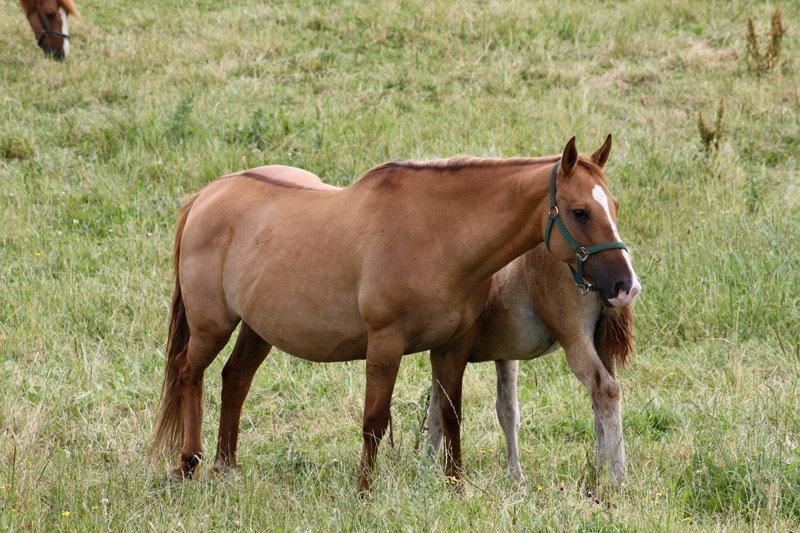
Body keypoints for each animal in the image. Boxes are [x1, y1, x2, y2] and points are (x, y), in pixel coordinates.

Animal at [428, 243, 636, 484]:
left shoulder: (447, 352)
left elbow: (437, 411)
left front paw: (423, 468)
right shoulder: (504, 355)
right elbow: (507, 409)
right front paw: (515, 475)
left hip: (575, 339)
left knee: (606, 391)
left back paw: (616, 477)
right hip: (600, 344)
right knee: (598, 398)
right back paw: (597, 470)